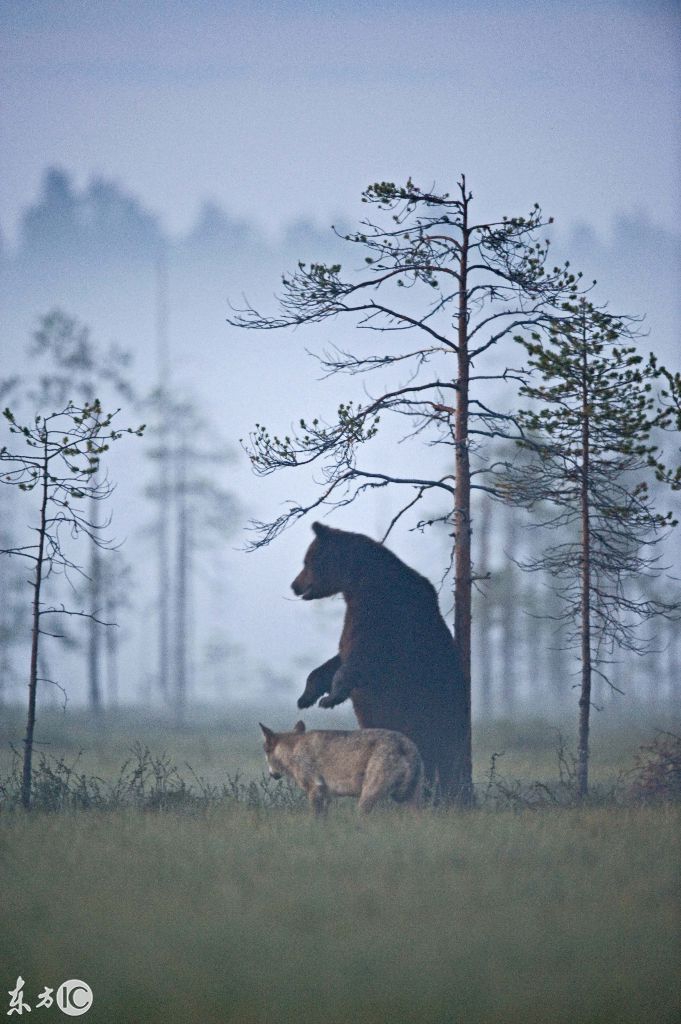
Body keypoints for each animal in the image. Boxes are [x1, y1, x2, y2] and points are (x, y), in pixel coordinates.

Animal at [258, 720, 421, 815]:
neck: (293, 749)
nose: (271, 774)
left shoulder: (315, 789)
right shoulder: (326, 795)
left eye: (265, 752)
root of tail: (406, 745)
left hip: (366, 798)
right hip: (410, 801)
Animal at [288, 524, 471, 802]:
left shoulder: (385, 616)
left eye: (307, 561)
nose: (294, 585)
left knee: (439, 755)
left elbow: (362, 658)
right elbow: (338, 657)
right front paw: (307, 696)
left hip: (432, 715)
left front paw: (330, 698)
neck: (359, 582)